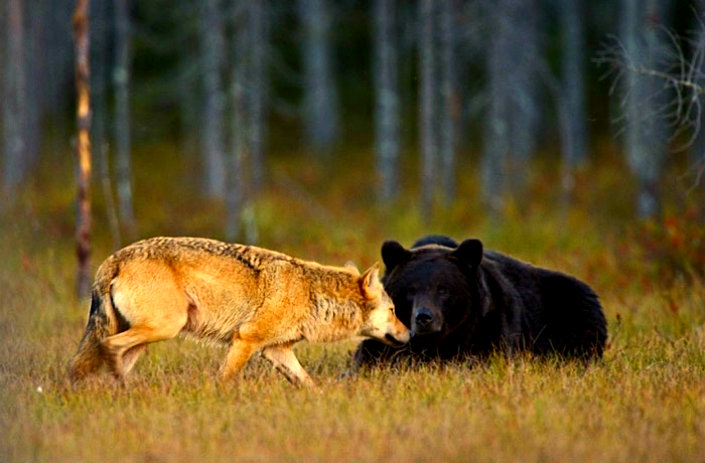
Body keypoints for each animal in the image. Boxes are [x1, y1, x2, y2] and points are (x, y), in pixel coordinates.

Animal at [68, 237, 409, 387]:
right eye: (394, 309)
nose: (410, 332)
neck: (312, 293)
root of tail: (113, 258)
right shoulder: (246, 340)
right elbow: (225, 378)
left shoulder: (276, 351)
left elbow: (308, 384)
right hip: (163, 328)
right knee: (110, 347)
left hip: (147, 338)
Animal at [354, 235, 607, 366]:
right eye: (411, 289)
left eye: (444, 289)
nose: (424, 317)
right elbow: (370, 357)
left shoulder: (488, 327)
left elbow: (483, 359)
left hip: (570, 309)